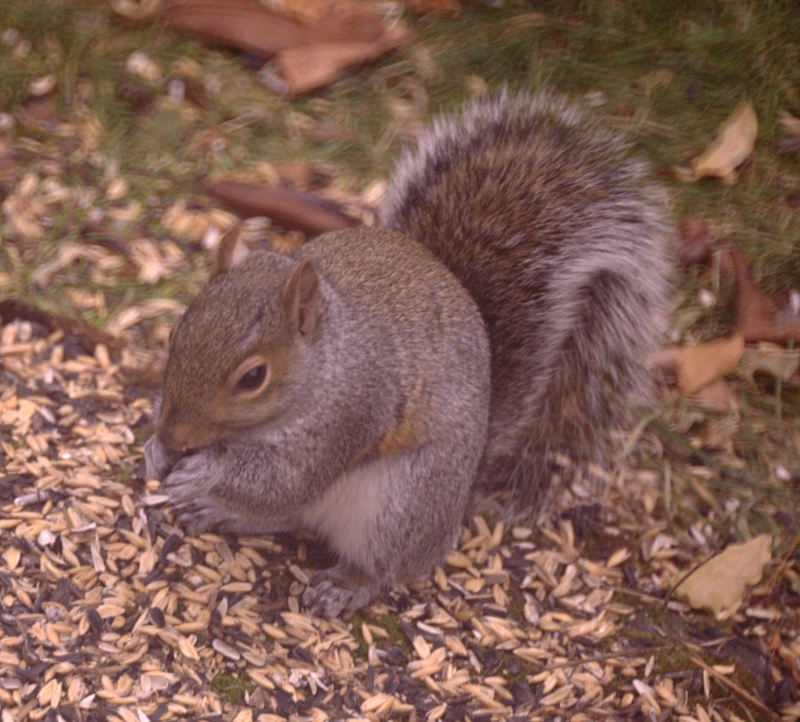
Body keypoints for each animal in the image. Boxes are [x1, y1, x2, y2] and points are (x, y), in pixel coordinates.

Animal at [144, 91, 670, 617]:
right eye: (176, 333)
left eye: (253, 378)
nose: (172, 436)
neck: (326, 360)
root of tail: (464, 485)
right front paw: (156, 454)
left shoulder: (352, 411)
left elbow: (284, 477)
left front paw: (203, 470)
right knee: (286, 516)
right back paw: (215, 510)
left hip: (401, 506)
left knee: (381, 563)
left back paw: (346, 584)